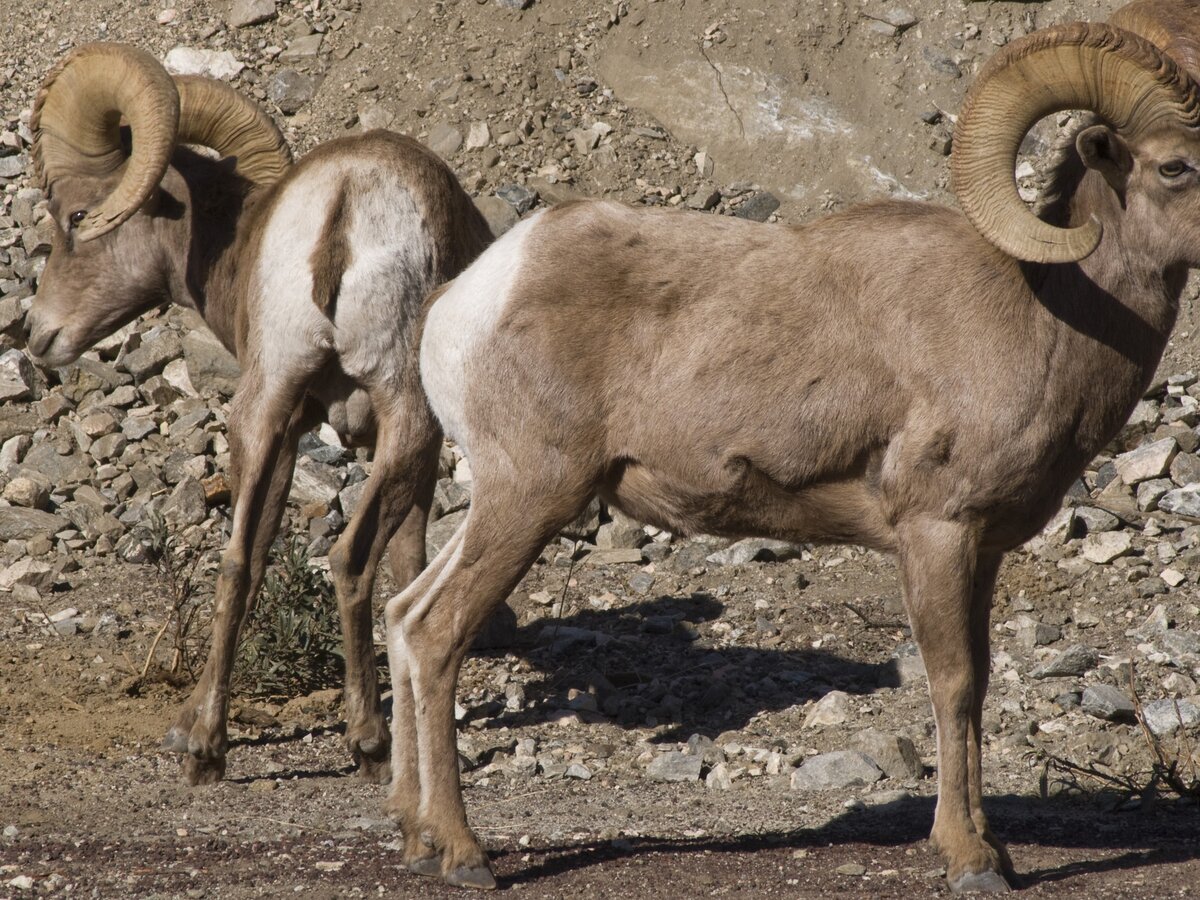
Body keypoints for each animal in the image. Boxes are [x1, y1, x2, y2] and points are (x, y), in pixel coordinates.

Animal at [22, 45, 487, 787]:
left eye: (75, 217)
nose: (35, 333)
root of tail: (343, 206)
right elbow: (406, 560)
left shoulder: (294, 426)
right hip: (403, 416)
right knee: (350, 558)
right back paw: (369, 743)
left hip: (267, 402)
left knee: (239, 557)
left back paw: (205, 747)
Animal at [379, 14, 1200, 897]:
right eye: (1175, 165)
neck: (1044, 316)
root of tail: (461, 302)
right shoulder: (937, 532)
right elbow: (953, 684)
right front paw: (970, 860)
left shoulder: (980, 551)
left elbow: (977, 685)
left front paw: (993, 850)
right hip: (531, 498)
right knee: (437, 632)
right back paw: (463, 853)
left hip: (500, 504)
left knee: (404, 617)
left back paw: (417, 838)